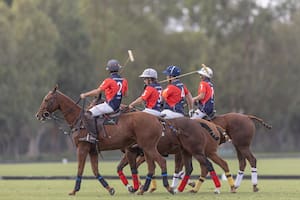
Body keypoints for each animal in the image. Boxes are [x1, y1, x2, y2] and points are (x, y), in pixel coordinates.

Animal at [35, 86, 173, 195]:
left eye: (46, 99)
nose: (38, 115)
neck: (78, 120)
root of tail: (156, 118)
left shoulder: (82, 148)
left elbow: (80, 169)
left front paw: (74, 191)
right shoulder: (93, 150)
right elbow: (95, 171)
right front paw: (110, 188)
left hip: (148, 146)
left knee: (161, 162)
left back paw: (168, 188)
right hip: (146, 147)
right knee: (152, 166)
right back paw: (144, 189)